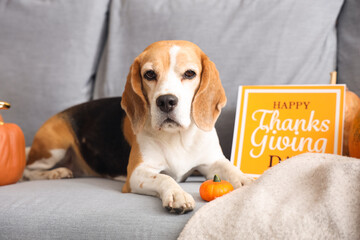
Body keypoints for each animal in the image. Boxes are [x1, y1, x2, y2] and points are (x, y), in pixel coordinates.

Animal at [23, 40, 253, 214]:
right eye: (149, 74)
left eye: (190, 73)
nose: (166, 101)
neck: (177, 136)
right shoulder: (136, 174)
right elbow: (164, 177)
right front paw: (177, 193)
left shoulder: (212, 162)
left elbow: (230, 168)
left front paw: (247, 180)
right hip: (54, 147)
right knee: (28, 171)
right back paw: (56, 173)